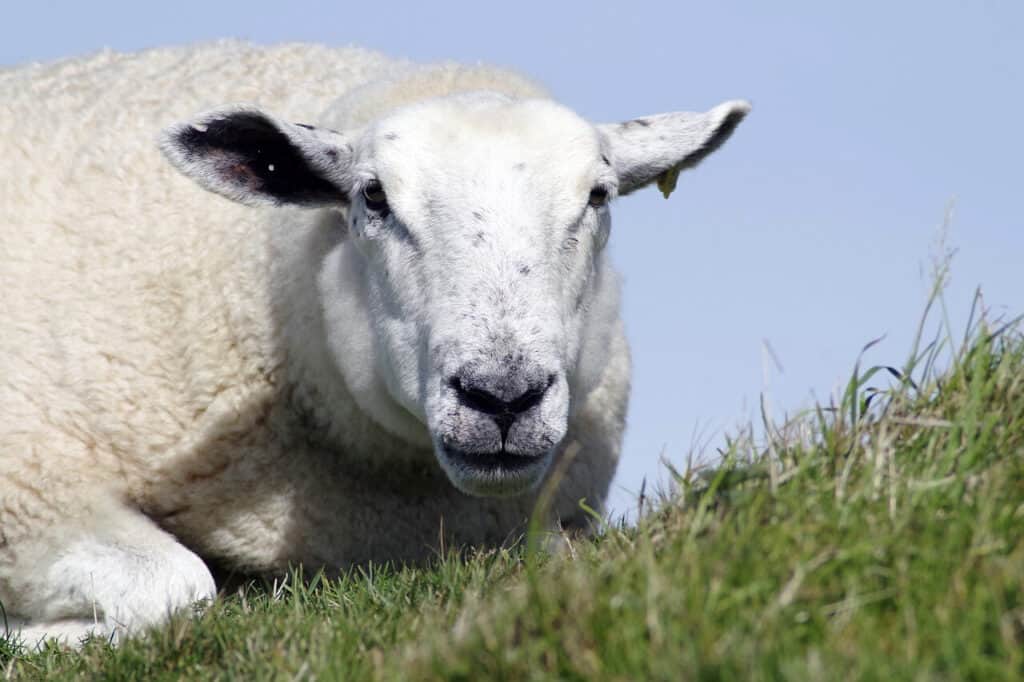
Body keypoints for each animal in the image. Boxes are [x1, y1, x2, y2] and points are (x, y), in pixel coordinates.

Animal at [0, 40, 748, 648]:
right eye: (374, 197)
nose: (502, 397)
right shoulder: (29, 479)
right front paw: (31, 636)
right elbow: (176, 587)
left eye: (599, 195)